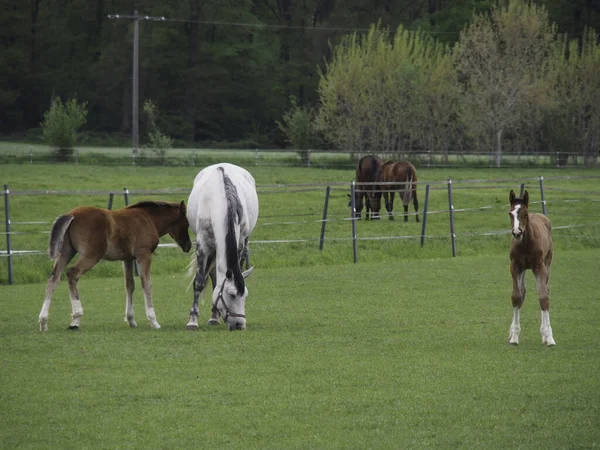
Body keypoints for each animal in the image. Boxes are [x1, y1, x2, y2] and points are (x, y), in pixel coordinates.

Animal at [38, 200, 192, 330]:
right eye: (187, 222)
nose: (188, 246)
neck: (149, 219)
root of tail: (72, 214)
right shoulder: (144, 255)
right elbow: (146, 284)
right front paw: (153, 321)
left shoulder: (127, 259)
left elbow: (129, 285)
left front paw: (131, 320)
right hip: (91, 256)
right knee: (72, 273)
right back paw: (76, 319)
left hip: (66, 252)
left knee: (54, 278)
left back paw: (43, 321)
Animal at [186, 163, 258, 330]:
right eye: (231, 294)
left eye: (245, 295)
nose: (239, 324)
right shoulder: (203, 245)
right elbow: (199, 282)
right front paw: (192, 321)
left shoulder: (238, 243)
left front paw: (214, 315)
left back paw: (214, 316)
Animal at [506, 189, 552, 344]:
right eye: (510, 213)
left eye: (525, 214)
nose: (517, 232)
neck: (525, 243)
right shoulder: (515, 267)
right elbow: (516, 297)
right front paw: (514, 336)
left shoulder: (540, 267)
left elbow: (543, 297)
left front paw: (549, 336)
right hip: (523, 270)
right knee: (523, 292)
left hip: (547, 264)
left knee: (545, 290)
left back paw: (545, 334)